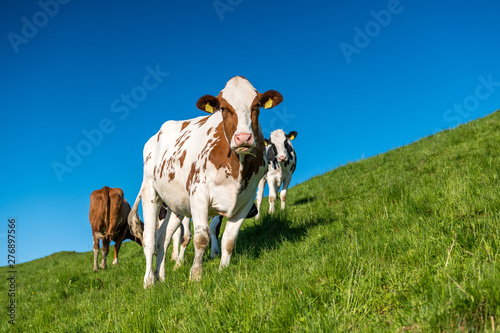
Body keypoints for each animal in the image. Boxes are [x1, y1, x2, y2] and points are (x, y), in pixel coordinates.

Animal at [129, 76, 284, 286]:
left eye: (256, 106)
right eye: (224, 108)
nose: (243, 137)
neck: (237, 166)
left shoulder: (247, 200)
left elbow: (229, 239)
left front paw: (223, 270)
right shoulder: (199, 194)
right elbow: (201, 237)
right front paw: (195, 275)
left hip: (173, 205)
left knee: (163, 238)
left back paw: (161, 276)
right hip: (150, 192)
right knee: (149, 240)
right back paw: (149, 281)